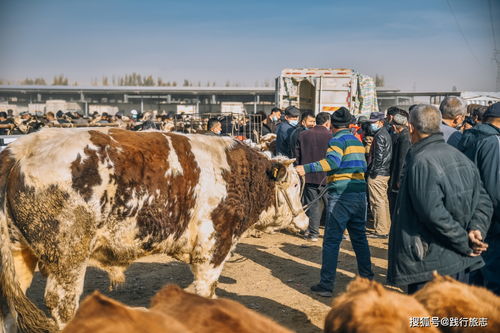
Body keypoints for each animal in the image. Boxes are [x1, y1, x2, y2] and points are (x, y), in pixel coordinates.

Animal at [0, 126, 306, 330]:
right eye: (294, 185)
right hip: (68, 259)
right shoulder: (213, 248)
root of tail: (22, 148)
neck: (240, 175)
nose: (304, 222)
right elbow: (206, 295)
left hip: (18, 254)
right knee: (63, 307)